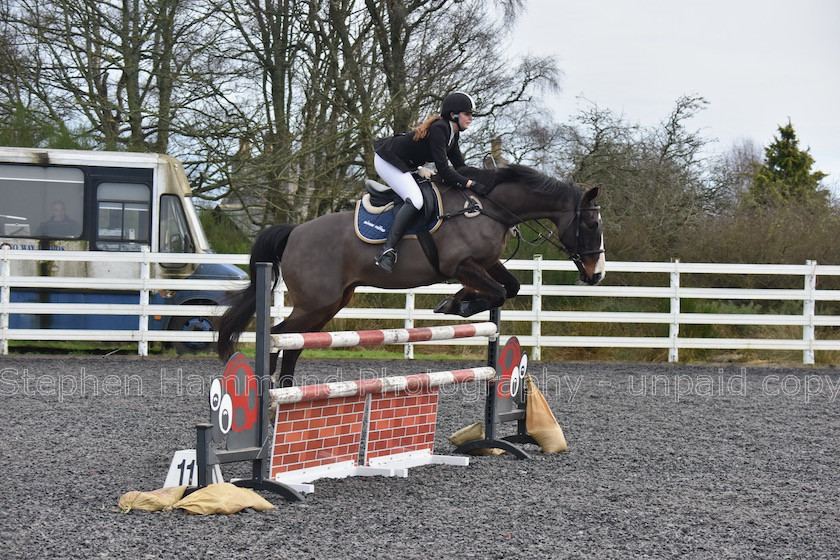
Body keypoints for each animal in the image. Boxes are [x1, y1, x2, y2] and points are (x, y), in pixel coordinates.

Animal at [218, 164, 604, 388]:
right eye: (591, 224)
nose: (596, 274)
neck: (488, 208)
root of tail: (294, 232)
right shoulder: (459, 264)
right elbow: (496, 292)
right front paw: (458, 306)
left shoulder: (487, 263)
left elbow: (510, 287)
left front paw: (457, 301)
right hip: (315, 303)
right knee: (280, 336)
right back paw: (269, 392)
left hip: (329, 304)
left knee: (295, 344)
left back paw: (287, 396)